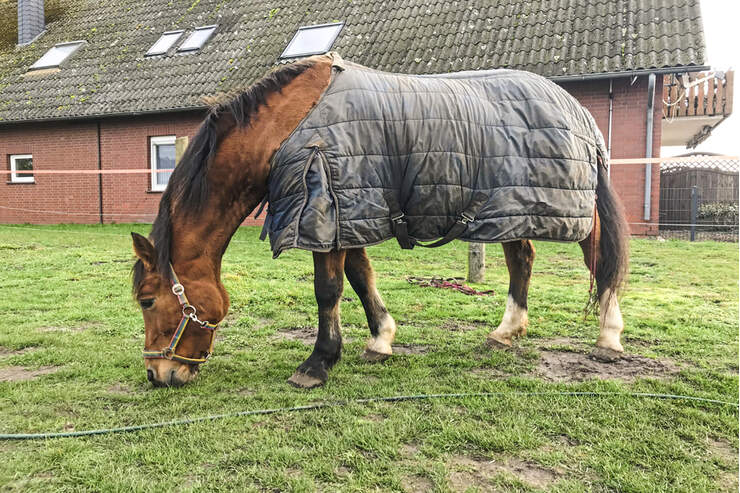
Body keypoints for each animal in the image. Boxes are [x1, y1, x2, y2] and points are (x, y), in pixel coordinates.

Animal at [132, 53, 629, 388]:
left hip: (572, 210)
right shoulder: (348, 212)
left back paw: (608, 338)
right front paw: (380, 341)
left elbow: (329, 289)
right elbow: (360, 276)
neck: (285, 129)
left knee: (599, 260)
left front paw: (318, 363)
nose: (158, 372)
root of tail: (578, 110)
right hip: (513, 207)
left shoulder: (326, 214)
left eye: (147, 300)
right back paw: (506, 333)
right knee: (522, 259)